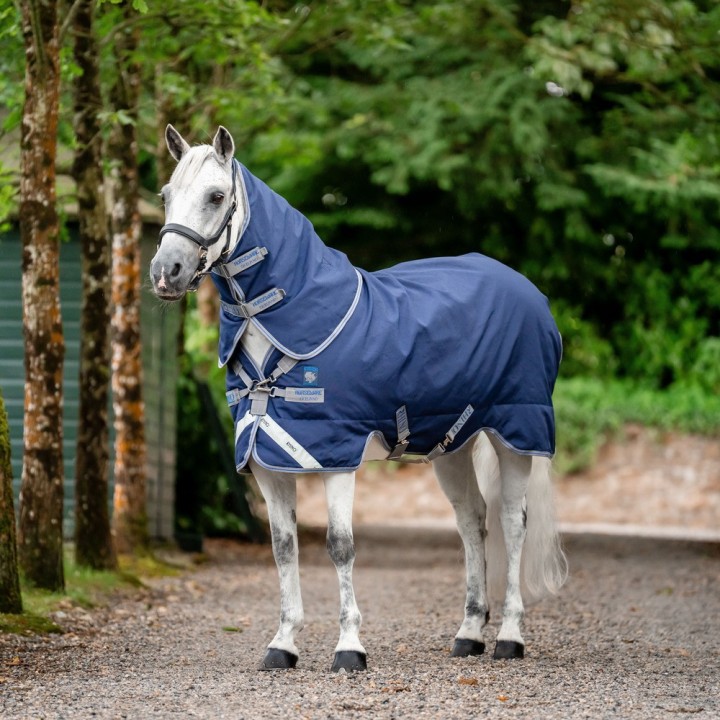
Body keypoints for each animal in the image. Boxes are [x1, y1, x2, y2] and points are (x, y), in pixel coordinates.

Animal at [150, 125, 568, 673]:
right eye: (166, 195)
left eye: (216, 196)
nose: (166, 272)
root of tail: (530, 293)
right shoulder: (266, 460)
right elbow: (283, 548)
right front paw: (282, 644)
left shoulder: (335, 457)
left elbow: (340, 546)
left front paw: (349, 647)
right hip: (453, 446)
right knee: (471, 522)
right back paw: (469, 634)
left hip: (515, 435)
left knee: (512, 524)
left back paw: (509, 638)